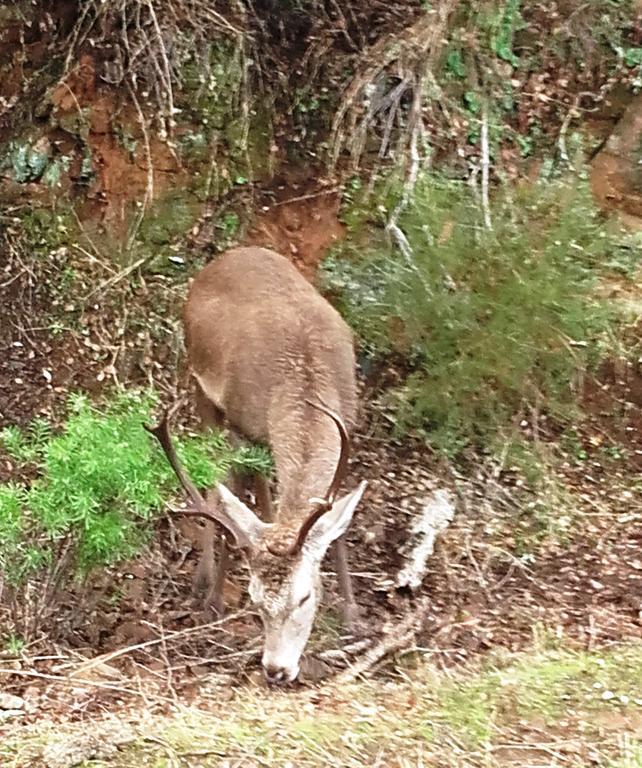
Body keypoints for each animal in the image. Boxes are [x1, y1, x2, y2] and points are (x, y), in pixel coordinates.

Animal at [145, 246, 364, 684]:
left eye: (306, 595)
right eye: (254, 599)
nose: (276, 669)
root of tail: (226, 257)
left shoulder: (348, 419)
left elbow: (335, 521)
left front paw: (352, 614)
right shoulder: (241, 422)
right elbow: (233, 488)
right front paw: (216, 597)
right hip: (202, 388)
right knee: (219, 480)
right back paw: (204, 583)